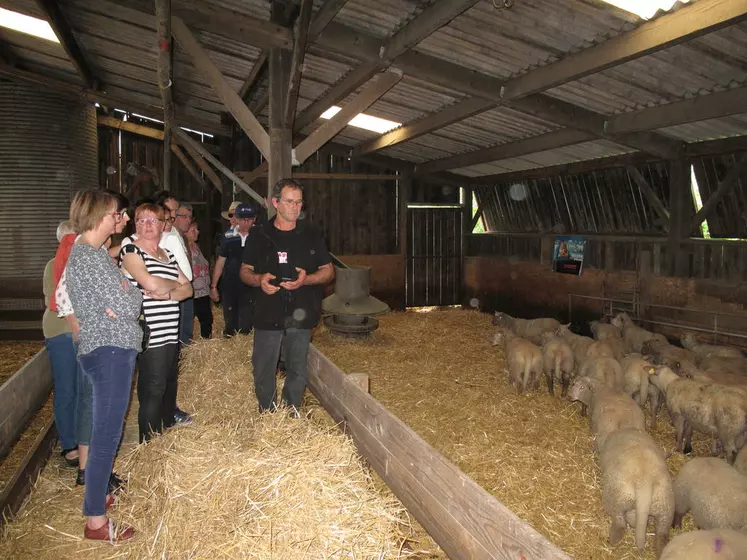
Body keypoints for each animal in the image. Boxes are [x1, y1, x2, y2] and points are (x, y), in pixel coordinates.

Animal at [600, 428, 676, 556]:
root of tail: (645, 481)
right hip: (666, 507)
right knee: (662, 534)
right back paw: (661, 551)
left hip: (618, 498)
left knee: (620, 522)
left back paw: (613, 540)